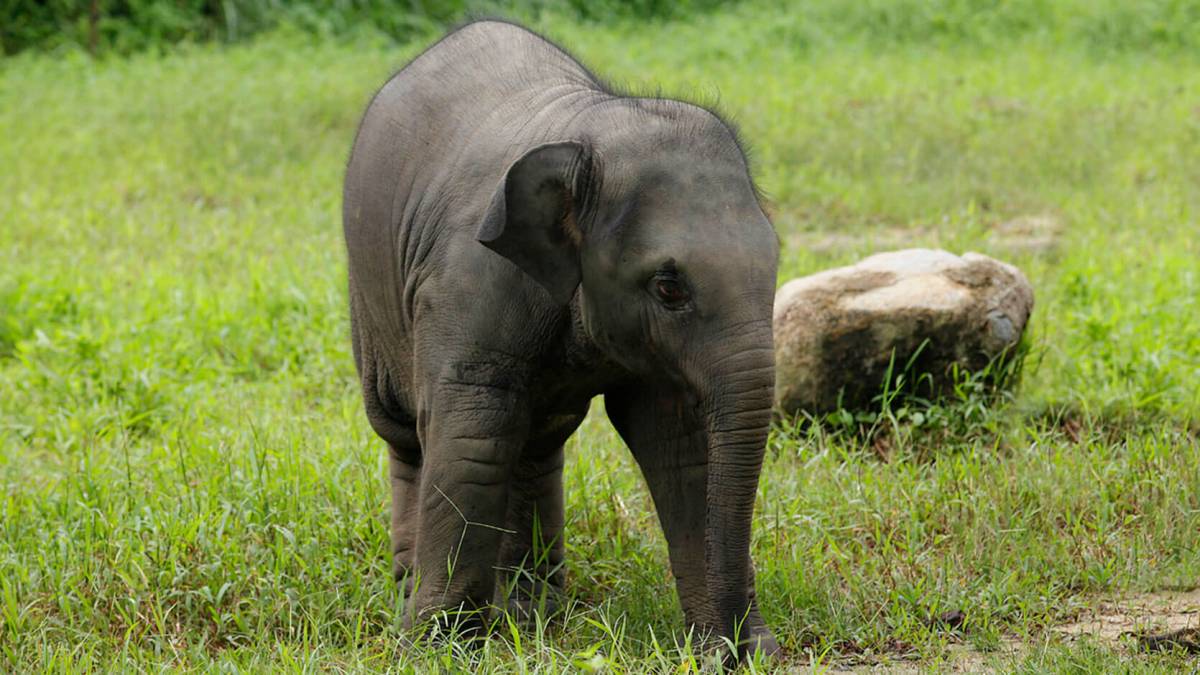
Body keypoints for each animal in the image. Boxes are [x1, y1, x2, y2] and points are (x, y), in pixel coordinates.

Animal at [342, 20, 780, 659]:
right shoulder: (470, 281)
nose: (736, 646)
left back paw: (534, 612)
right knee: (408, 433)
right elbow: (472, 435)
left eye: (776, 262)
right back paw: (415, 590)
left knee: (538, 442)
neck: (588, 132)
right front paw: (437, 646)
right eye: (669, 286)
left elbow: (680, 447)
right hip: (369, 296)